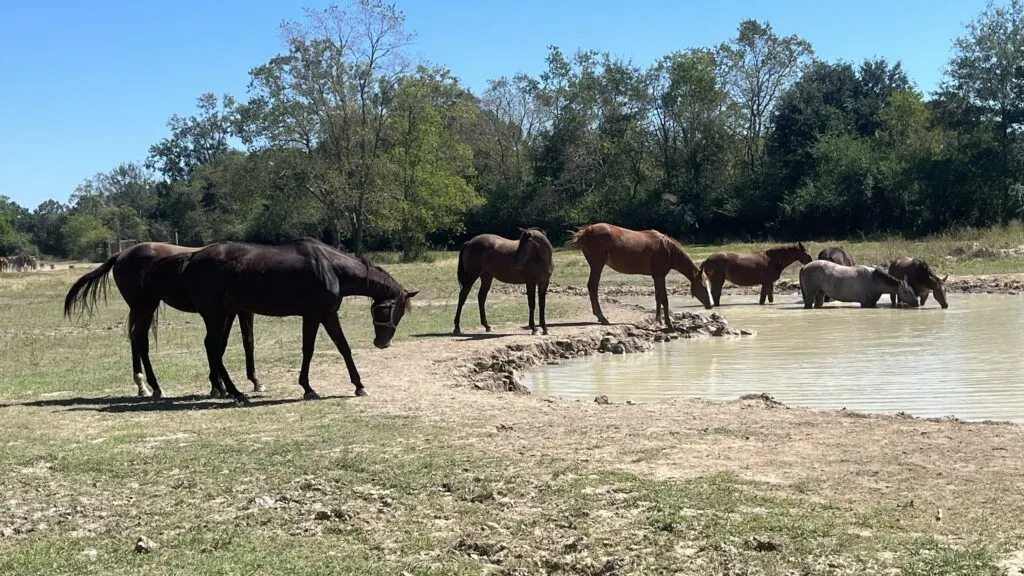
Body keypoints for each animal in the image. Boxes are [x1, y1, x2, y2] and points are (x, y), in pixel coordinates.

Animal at [62, 239, 260, 397]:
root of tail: (121, 254)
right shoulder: (239, 311)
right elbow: (246, 342)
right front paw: (252, 381)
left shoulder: (228, 312)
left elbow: (225, 343)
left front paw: (218, 386)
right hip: (145, 307)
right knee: (141, 340)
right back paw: (155, 387)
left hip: (140, 309)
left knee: (134, 338)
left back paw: (142, 387)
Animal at [180, 237, 415, 403]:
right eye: (394, 310)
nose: (383, 343)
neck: (330, 267)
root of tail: (192, 258)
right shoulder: (313, 316)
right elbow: (308, 350)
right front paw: (308, 388)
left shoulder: (328, 315)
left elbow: (344, 348)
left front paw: (359, 386)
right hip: (215, 315)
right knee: (213, 347)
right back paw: (236, 393)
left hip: (223, 314)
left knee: (215, 349)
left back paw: (226, 389)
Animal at [561, 219, 712, 327]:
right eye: (703, 286)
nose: (710, 305)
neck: (667, 250)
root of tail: (586, 232)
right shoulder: (660, 276)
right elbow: (664, 299)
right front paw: (669, 324)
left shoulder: (656, 277)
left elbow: (658, 297)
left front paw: (659, 320)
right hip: (597, 265)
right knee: (592, 286)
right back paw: (602, 317)